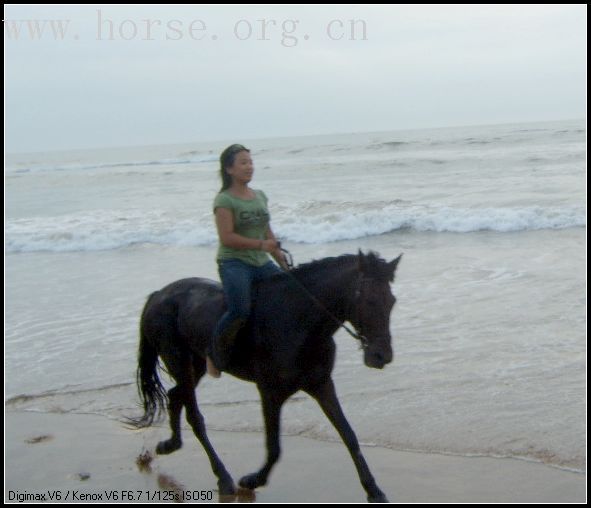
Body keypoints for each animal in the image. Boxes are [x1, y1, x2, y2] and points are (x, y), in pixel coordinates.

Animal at [131, 250, 402, 500]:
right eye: (369, 301)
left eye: (391, 301)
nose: (382, 356)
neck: (300, 321)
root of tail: (157, 295)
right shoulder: (270, 392)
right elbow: (274, 446)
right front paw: (253, 480)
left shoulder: (322, 384)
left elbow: (349, 435)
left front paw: (374, 491)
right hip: (179, 363)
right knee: (195, 417)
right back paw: (223, 478)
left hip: (195, 366)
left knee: (175, 395)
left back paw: (170, 444)